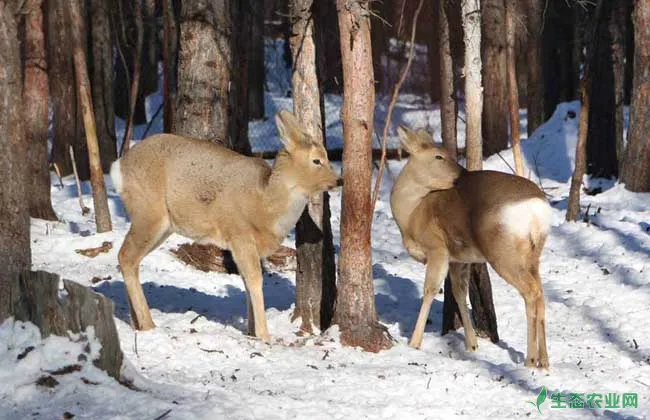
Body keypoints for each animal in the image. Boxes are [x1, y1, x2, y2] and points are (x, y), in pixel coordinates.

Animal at [110, 110, 340, 342]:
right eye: (317, 160)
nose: (339, 180)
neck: (266, 206)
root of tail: (117, 168)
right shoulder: (239, 234)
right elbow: (255, 280)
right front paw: (264, 336)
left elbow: (246, 281)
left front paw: (251, 331)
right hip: (148, 213)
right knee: (125, 256)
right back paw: (148, 324)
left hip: (162, 225)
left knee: (130, 260)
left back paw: (136, 322)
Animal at [390, 125, 552, 368]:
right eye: (438, 156)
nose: (462, 174)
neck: (412, 214)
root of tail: (537, 209)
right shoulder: (459, 258)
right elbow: (459, 292)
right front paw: (472, 344)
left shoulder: (437, 247)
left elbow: (430, 290)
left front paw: (414, 342)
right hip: (532, 254)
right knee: (540, 292)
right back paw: (545, 361)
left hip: (504, 253)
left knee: (531, 293)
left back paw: (531, 359)